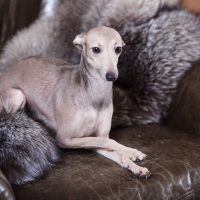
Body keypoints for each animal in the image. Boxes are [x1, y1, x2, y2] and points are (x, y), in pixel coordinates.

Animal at [0, 26, 150, 178]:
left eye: (118, 49)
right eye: (96, 49)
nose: (111, 76)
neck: (93, 96)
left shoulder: (95, 137)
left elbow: (107, 144)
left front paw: (134, 163)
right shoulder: (64, 139)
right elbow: (108, 141)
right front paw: (131, 152)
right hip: (18, 96)